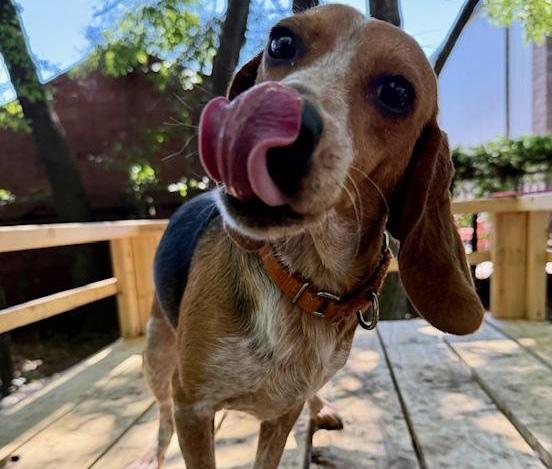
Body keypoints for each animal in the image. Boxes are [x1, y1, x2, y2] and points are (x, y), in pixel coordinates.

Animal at [139, 4, 484, 468]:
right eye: (281, 42)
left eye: (398, 92)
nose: (265, 116)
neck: (305, 283)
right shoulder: (191, 406)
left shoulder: (283, 412)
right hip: (158, 357)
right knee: (159, 412)